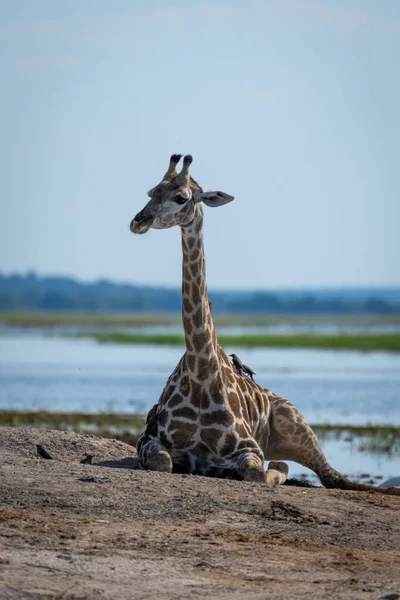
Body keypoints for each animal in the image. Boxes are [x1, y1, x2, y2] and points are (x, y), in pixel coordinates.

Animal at [130, 155, 398, 496]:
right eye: (152, 191)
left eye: (181, 197)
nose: (138, 221)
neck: (202, 373)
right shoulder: (150, 437)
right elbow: (163, 462)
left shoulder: (249, 448)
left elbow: (257, 474)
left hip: (297, 425)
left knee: (330, 477)